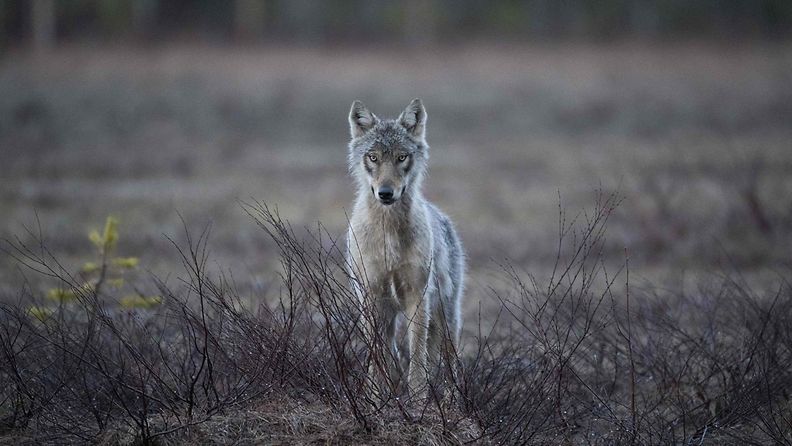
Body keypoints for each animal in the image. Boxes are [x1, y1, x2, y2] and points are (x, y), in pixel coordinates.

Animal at [344, 99, 464, 398]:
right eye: (373, 157)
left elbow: (418, 357)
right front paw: (376, 397)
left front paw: (419, 399)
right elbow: (378, 354)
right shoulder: (371, 298)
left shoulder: (416, 296)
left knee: (449, 362)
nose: (386, 193)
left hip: (446, 317)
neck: (389, 238)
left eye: (401, 157)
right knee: (394, 352)